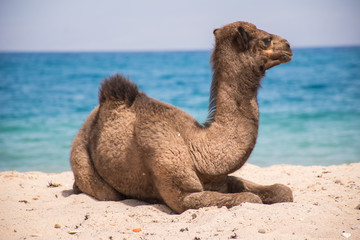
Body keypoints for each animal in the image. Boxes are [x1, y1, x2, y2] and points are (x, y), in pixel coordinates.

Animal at [71, 21, 296, 214]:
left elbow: (282, 190)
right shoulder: (182, 191)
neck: (196, 148)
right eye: (266, 39)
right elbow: (250, 198)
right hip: (83, 162)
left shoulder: (219, 179)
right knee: (105, 191)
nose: (288, 45)